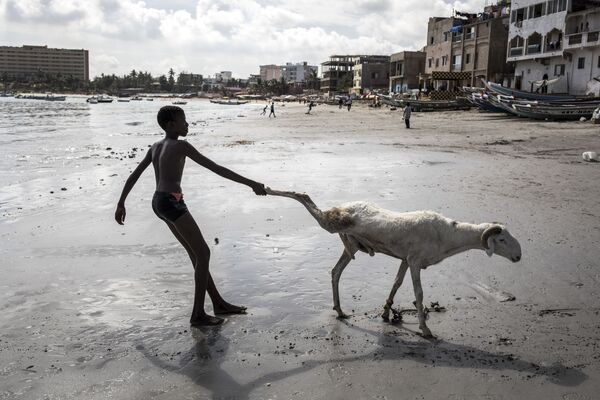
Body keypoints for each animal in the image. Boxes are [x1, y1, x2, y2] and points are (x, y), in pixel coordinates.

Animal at [264, 188, 524, 338]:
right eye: (501, 239)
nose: (519, 256)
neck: (449, 235)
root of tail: (345, 206)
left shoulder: (406, 259)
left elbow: (397, 283)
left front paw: (386, 312)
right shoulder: (416, 261)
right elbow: (418, 293)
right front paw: (425, 330)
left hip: (351, 246)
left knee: (335, 272)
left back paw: (339, 310)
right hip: (331, 222)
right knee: (304, 197)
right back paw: (265, 188)